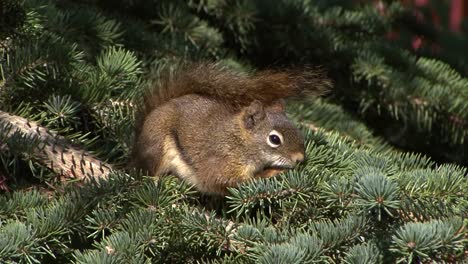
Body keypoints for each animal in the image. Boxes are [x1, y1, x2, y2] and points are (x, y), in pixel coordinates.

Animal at [131, 62, 330, 194]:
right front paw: (271, 173)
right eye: (274, 139)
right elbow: (228, 180)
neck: (239, 141)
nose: (300, 159)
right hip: (158, 146)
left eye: (297, 131)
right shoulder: (222, 160)